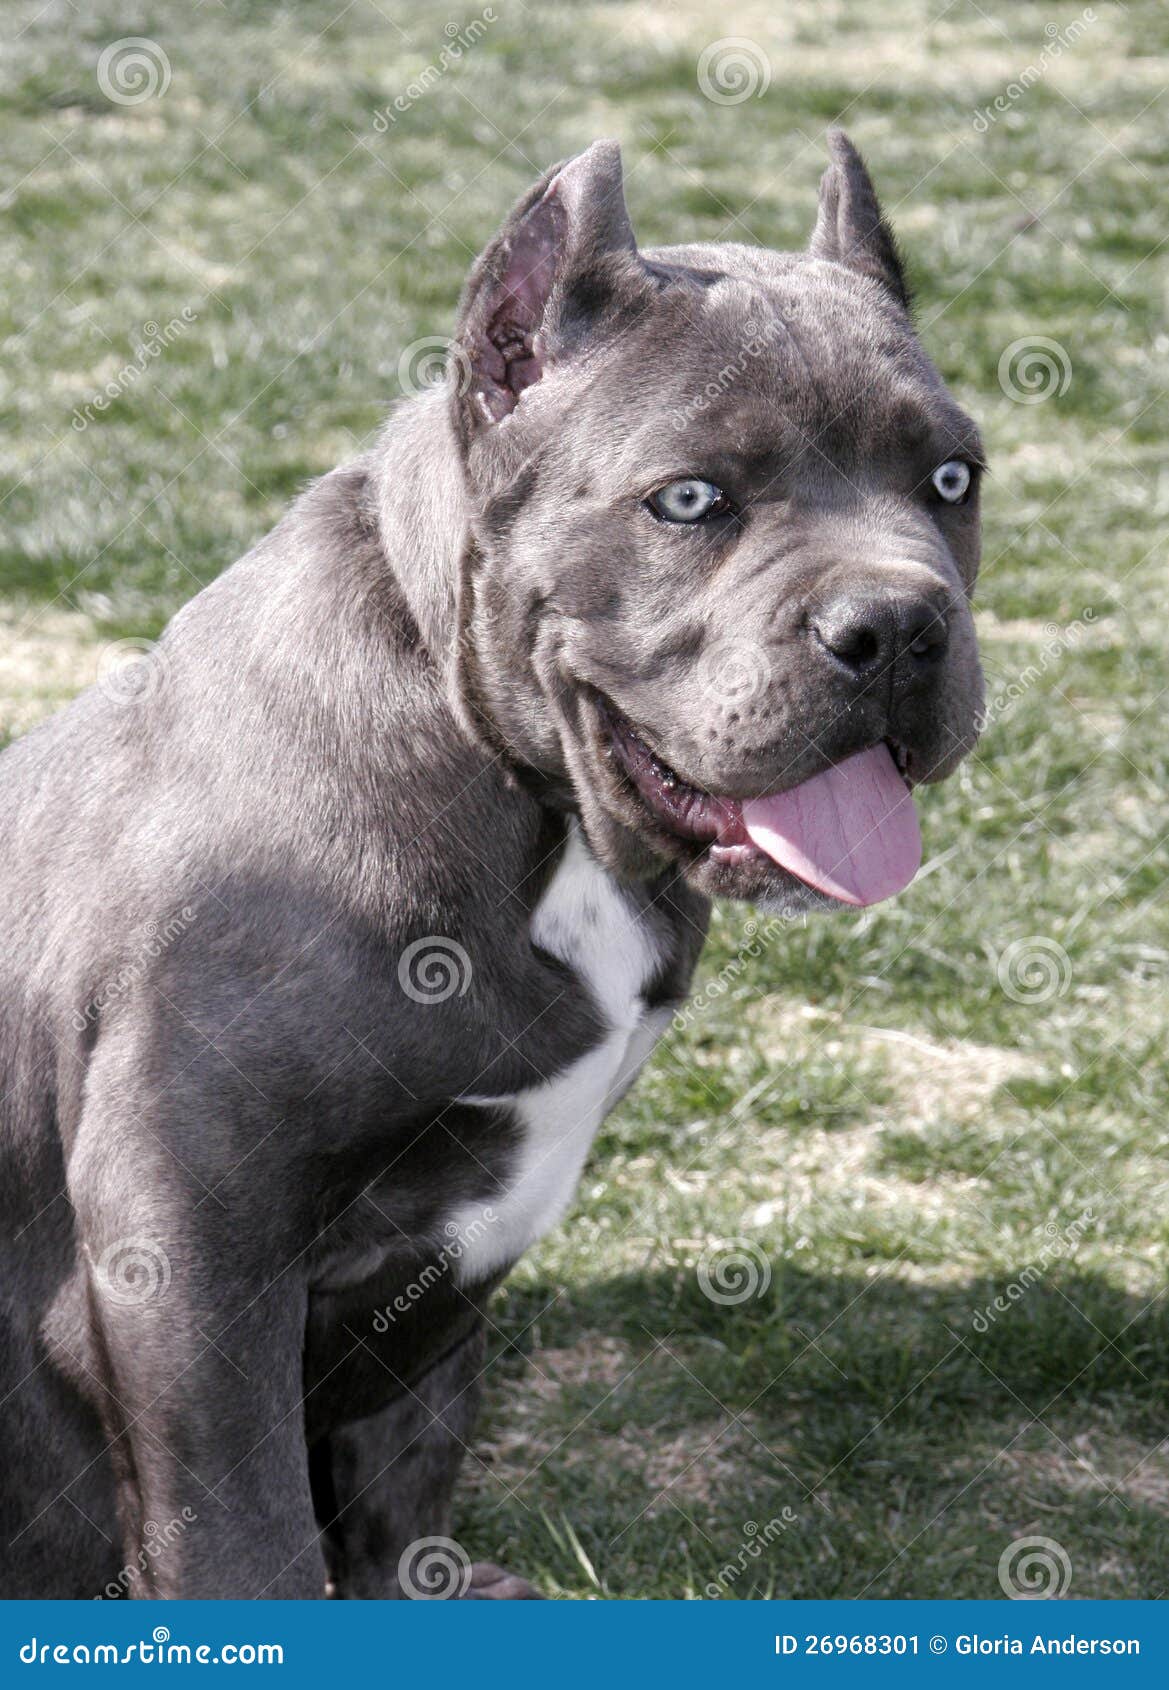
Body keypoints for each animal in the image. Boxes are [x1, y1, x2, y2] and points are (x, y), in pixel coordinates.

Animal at [0, 135, 986, 1595]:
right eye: (688, 499)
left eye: (952, 480)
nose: (900, 625)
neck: (535, 808)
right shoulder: (188, 1243)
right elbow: (247, 1531)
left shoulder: (436, 1293)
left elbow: (408, 1474)